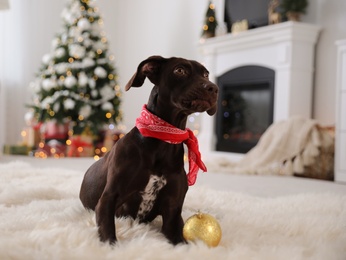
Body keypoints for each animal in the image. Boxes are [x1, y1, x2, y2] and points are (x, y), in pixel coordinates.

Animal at [79, 55, 218, 245]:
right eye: (180, 70)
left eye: (206, 74)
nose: (214, 88)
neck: (163, 139)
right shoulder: (108, 199)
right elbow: (108, 235)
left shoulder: (173, 211)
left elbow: (180, 240)